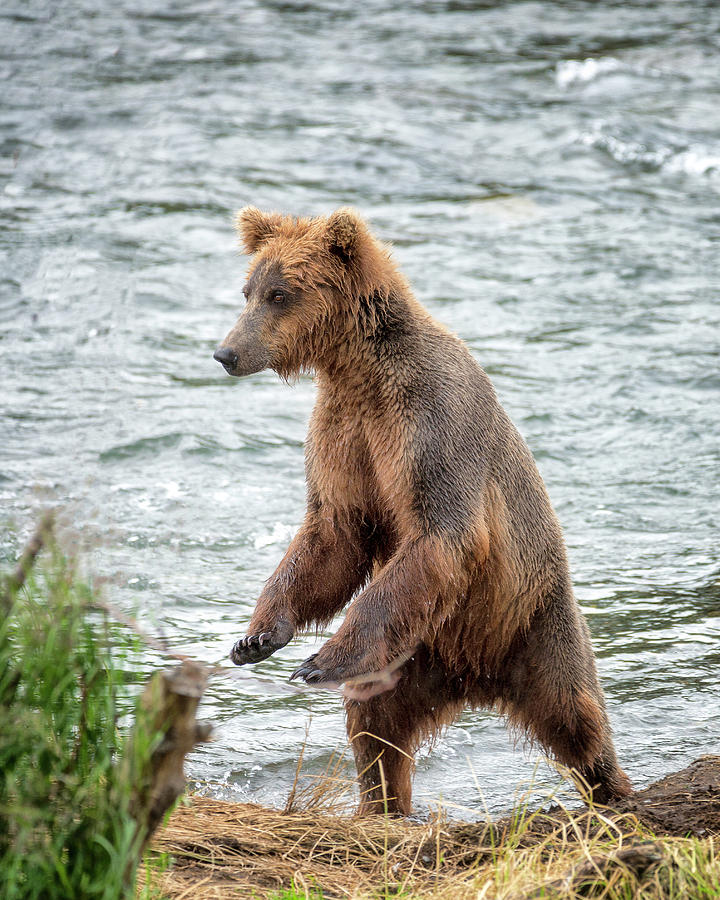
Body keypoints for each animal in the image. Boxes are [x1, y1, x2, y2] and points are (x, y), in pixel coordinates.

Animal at [214, 207, 632, 812]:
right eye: (247, 290)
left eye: (280, 293)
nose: (225, 353)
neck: (358, 369)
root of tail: (478, 675)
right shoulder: (345, 436)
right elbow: (334, 533)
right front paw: (256, 637)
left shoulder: (426, 425)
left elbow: (442, 531)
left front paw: (316, 661)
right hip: (413, 654)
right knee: (376, 720)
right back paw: (381, 804)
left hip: (533, 619)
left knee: (574, 712)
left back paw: (612, 789)